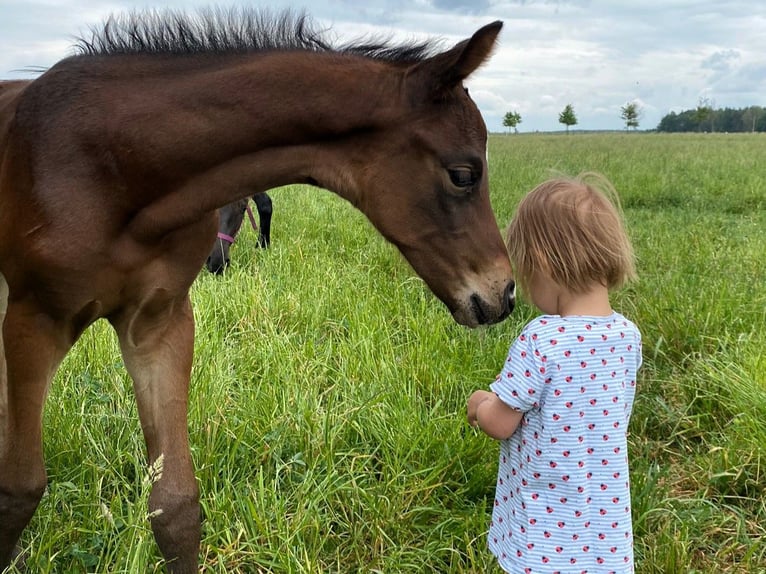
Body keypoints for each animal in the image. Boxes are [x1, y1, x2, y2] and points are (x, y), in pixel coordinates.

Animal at [1, 10, 516, 574]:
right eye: (463, 174)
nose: (504, 293)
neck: (116, 164)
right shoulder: (34, 318)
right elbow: (19, 488)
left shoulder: (159, 323)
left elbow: (175, 506)